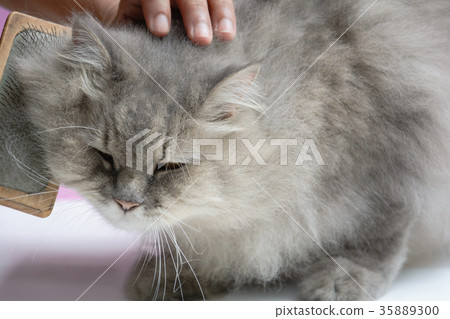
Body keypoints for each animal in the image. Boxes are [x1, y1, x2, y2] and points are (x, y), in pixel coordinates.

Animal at [12, 0, 450, 302]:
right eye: (104, 157)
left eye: (169, 167)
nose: (125, 204)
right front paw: (177, 279)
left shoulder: (391, 156)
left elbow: (380, 234)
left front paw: (343, 280)